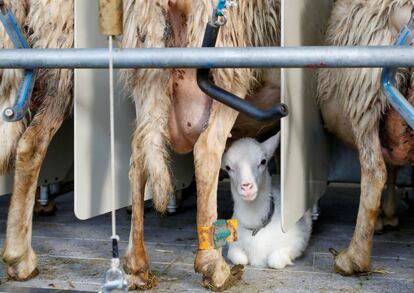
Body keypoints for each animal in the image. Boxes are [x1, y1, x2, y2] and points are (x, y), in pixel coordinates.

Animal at [222, 132, 312, 270]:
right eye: (228, 167)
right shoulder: (233, 243)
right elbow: (239, 258)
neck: (256, 227)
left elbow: (274, 261)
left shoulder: (298, 240)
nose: (247, 187)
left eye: (263, 161)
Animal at [316, 0, 414, 274]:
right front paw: (388, 215)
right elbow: (393, 167)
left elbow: (386, 169)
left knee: (374, 173)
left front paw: (381, 218)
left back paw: (352, 259)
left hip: (364, 95)